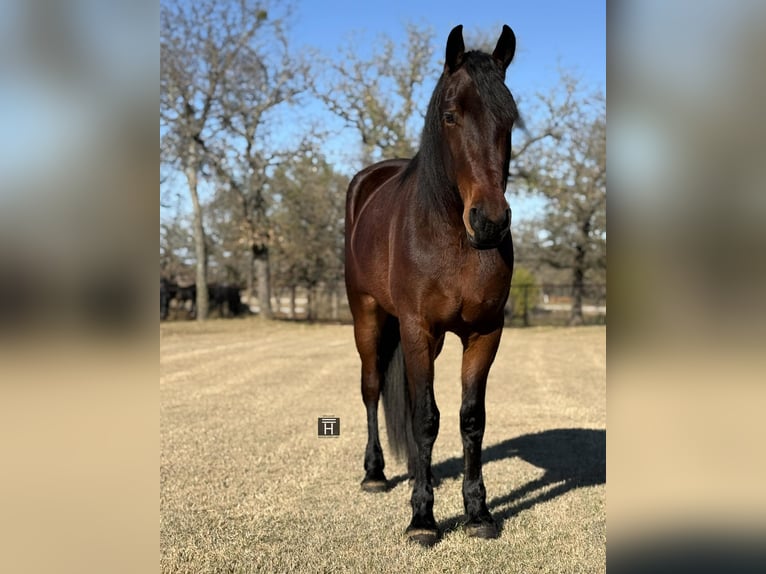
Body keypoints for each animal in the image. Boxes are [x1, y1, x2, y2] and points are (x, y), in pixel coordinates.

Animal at [345, 24, 518, 546]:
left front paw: (478, 513)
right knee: (372, 388)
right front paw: (422, 519)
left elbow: (470, 418)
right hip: (367, 315)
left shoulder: (484, 333)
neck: (452, 238)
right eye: (450, 115)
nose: (489, 222)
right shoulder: (416, 329)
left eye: (511, 119)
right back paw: (376, 474)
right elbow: (425, 418)